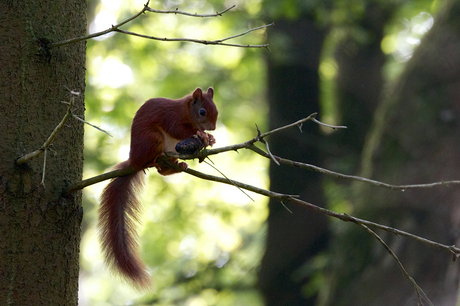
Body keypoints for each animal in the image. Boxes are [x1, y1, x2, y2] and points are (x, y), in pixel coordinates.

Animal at [99, 88, 217, 290]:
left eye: (216, 109)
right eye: (202, 112)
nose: (213, 128)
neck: (185, 110)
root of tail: (134, 161)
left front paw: (209, 138)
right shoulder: (172, 118)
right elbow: (179, 130)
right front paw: (200, 134)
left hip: (172, 150)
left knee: (163, 171)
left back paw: (179, 166)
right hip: (152, 138)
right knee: (153, 161)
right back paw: (156, 159)